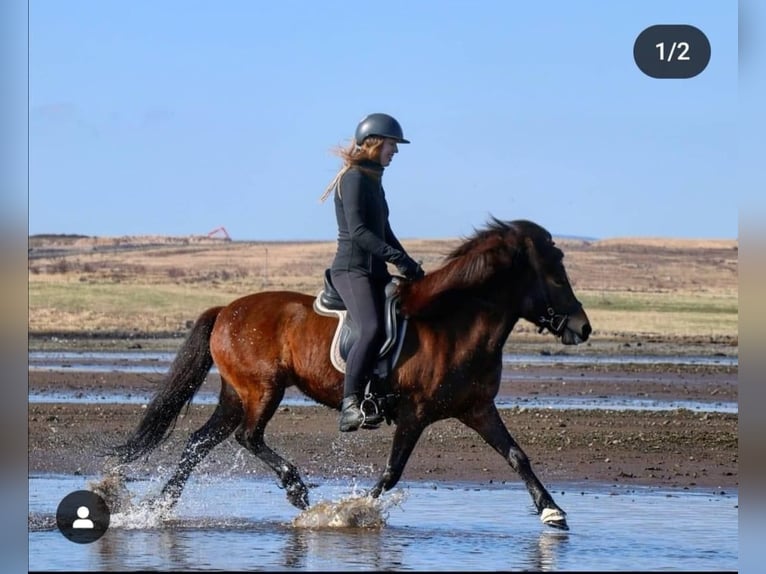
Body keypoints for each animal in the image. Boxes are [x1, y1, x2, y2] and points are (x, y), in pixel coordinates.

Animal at [112, 219, 592, 532]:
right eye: (555, 277)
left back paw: (160, 508)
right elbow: (392, 473)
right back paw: (294, 488)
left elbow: (516, 456)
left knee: (199, 442)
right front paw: (350, 511)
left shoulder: (477, 408)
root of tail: (226, 309)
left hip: (237, 393)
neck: (454, 325)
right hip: (263, 389)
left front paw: (552, 511)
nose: (583, 327)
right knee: (247, 437)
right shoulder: (416, 413)